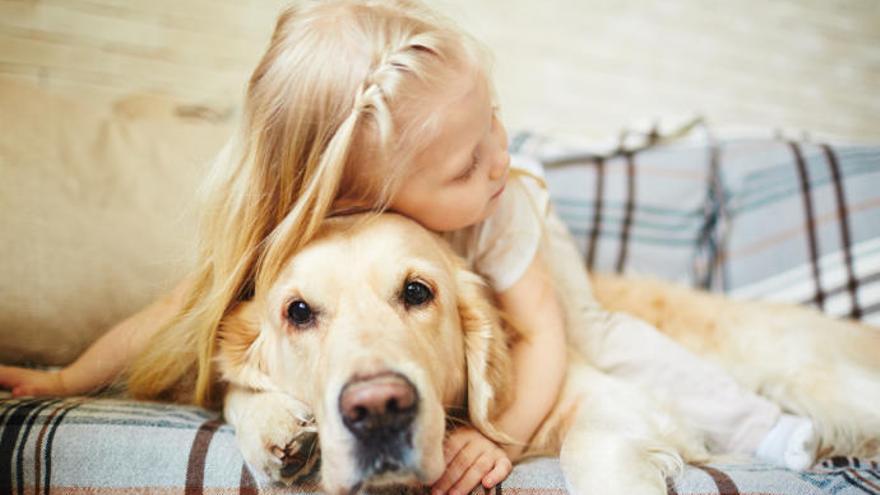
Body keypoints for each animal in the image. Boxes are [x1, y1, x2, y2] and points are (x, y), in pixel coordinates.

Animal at [217, 213, 880, 495]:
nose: (378, 409)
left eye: (417, 292)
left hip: (809, 380)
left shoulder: (612, 397)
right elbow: (232, 391)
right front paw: (278, 430)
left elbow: (588, 451)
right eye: (298, 312)